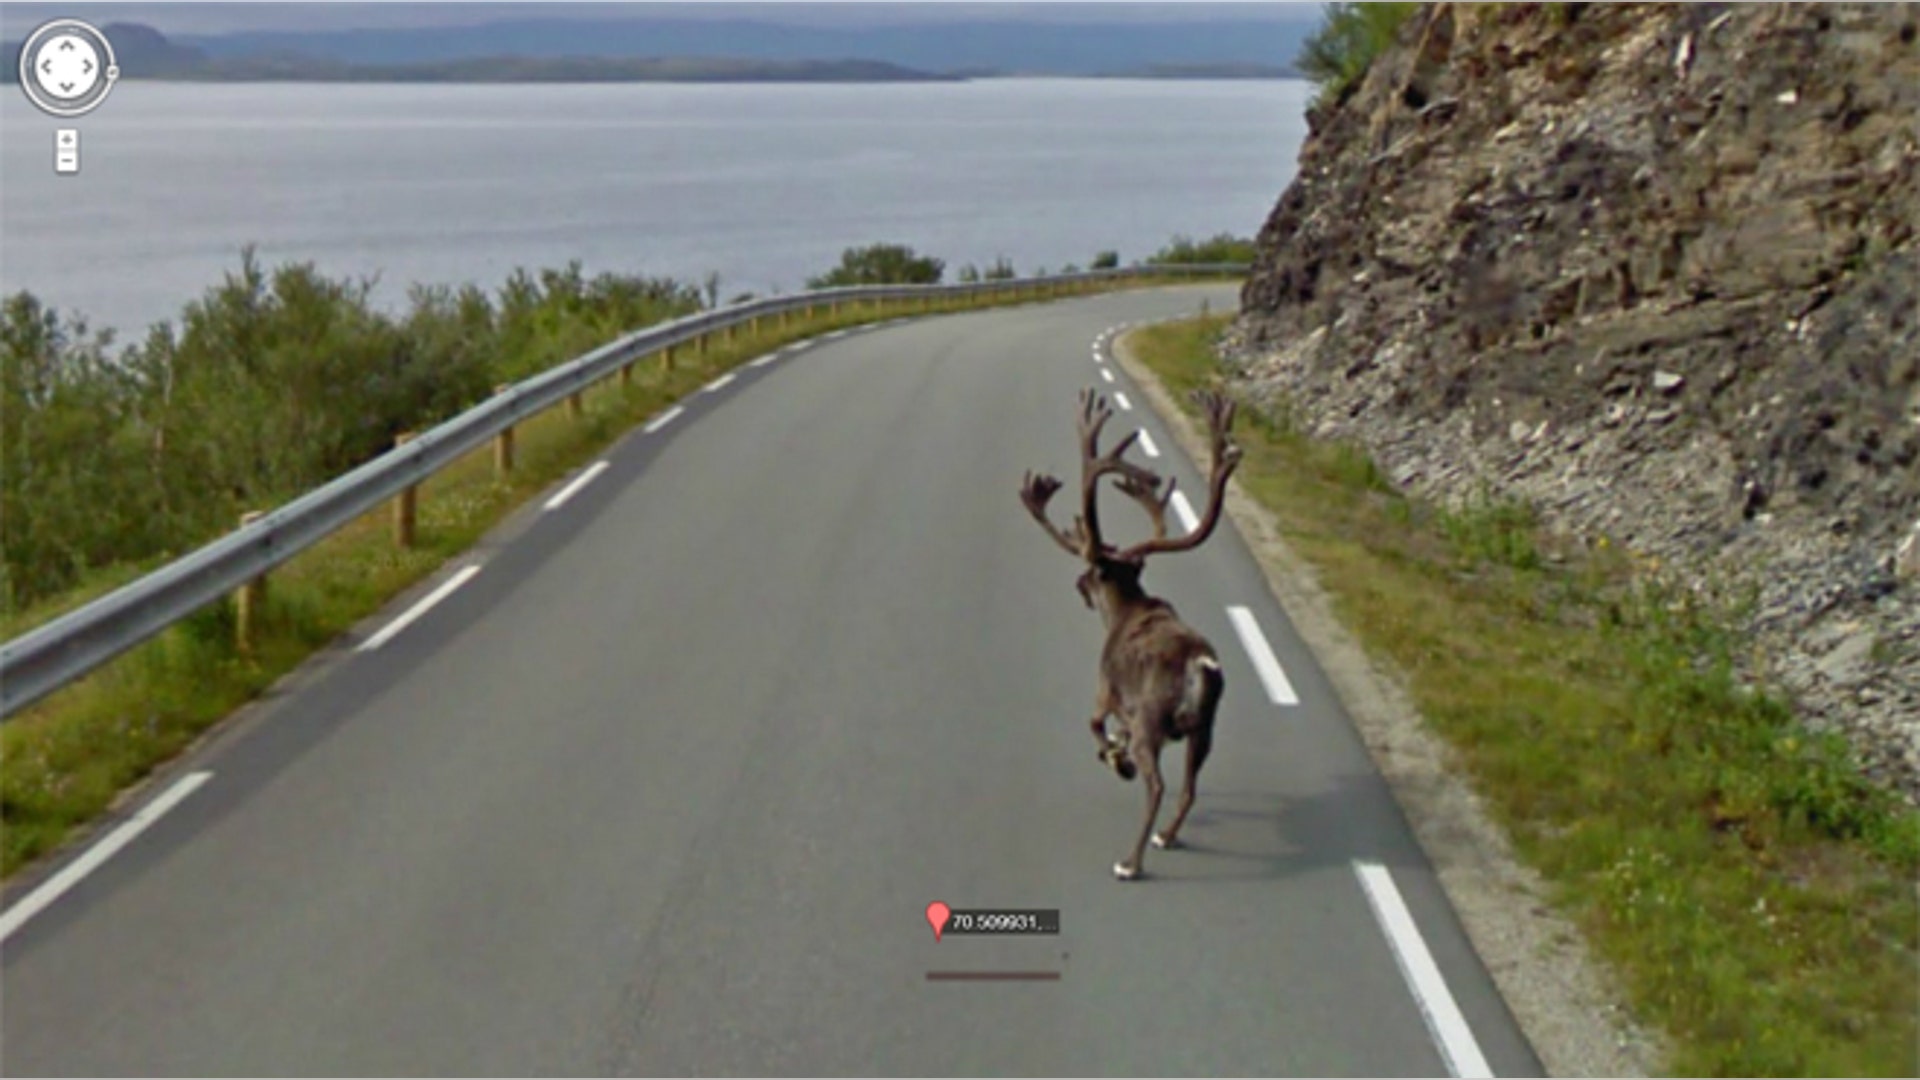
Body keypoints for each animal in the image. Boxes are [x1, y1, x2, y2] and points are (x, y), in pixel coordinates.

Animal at [1019, 386, 1242, 880]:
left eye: (1091, 571)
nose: (1079, 583)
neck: (1125, 611)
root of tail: (1199, 666)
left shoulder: (1106, 690)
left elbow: (1094, 726)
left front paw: (1115, 758)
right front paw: (1115, 755)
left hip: (1152, 721)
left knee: (1157, 785)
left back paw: (1130, 862)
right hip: (1206, 726)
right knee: (1189, 787)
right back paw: (1166, 836)